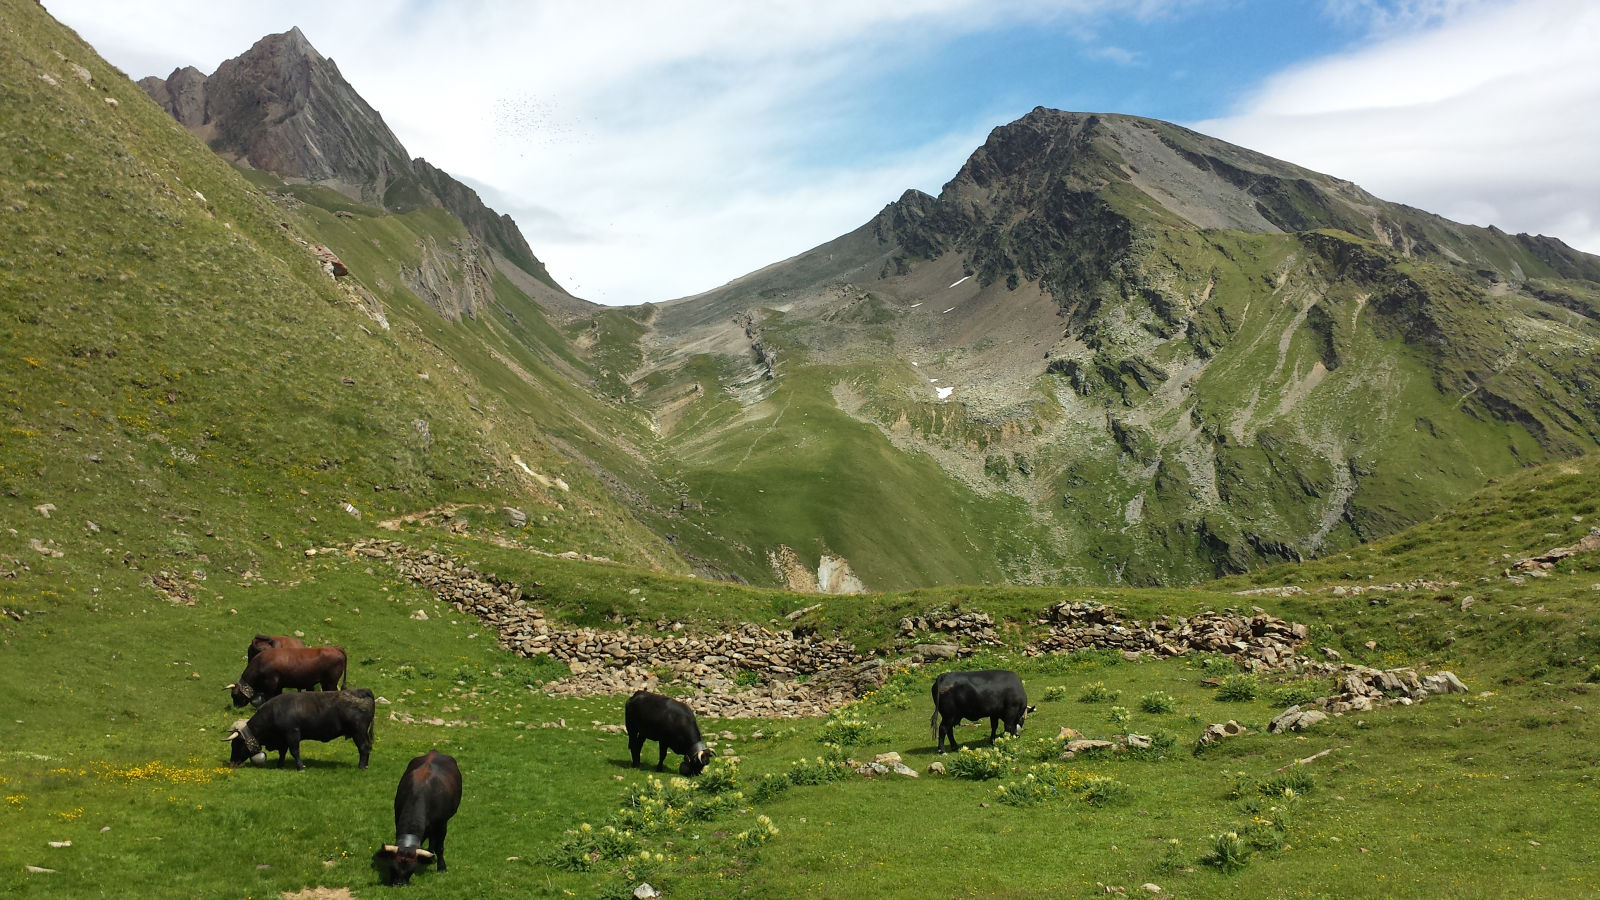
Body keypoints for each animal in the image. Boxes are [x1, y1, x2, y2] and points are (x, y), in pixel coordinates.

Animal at [221, 688, 375, 771]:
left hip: (358, 731)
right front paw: (280, 765)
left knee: (363, 747)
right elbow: (282, 752)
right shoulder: (282, 738)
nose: (232, 762)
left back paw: (362, 766)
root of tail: (361, 691)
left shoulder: (292, 733)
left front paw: (300, 767)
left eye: (236, 744)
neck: (274, 711)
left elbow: (294, 751)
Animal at [380, 750, 462, 886]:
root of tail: (434, 752)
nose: (398, 884)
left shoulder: (442, 824)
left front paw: (441, 867)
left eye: (412, 868)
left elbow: (440, 847)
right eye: (392, 866)